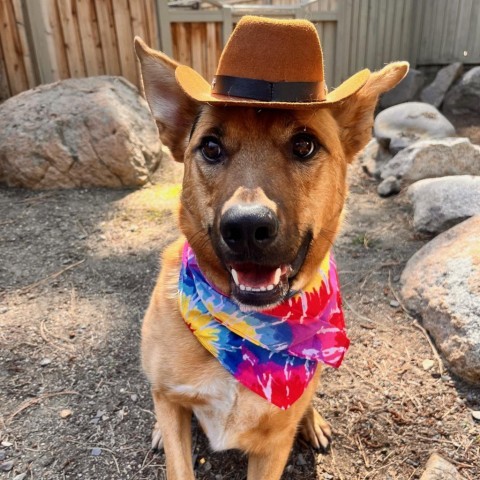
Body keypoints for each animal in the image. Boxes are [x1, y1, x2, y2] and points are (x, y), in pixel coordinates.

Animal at [135, 15, 408, 480]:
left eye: (304, 144)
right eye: (211, 147)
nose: (246, 227)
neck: (249, 330)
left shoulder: (273, 446)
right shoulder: (172, 402)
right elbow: (176, 451)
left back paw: (312, 422)